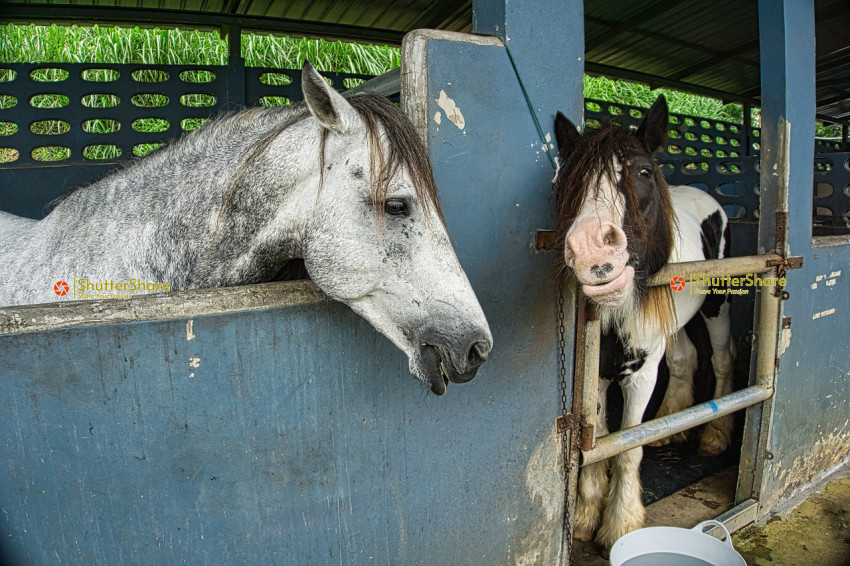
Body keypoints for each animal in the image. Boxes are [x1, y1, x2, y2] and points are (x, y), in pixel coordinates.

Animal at [552, 96, 732, 552]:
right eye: (567, 179)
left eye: (643, 171)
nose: (592, 252)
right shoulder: (596, 373)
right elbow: (600, 441)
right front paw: (585, 515)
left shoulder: (641, 373)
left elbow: (628, 447)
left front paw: (621, 523)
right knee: (685, 359)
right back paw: (670, 423)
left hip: (717, 307)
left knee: (721, 360)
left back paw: (715, 435)